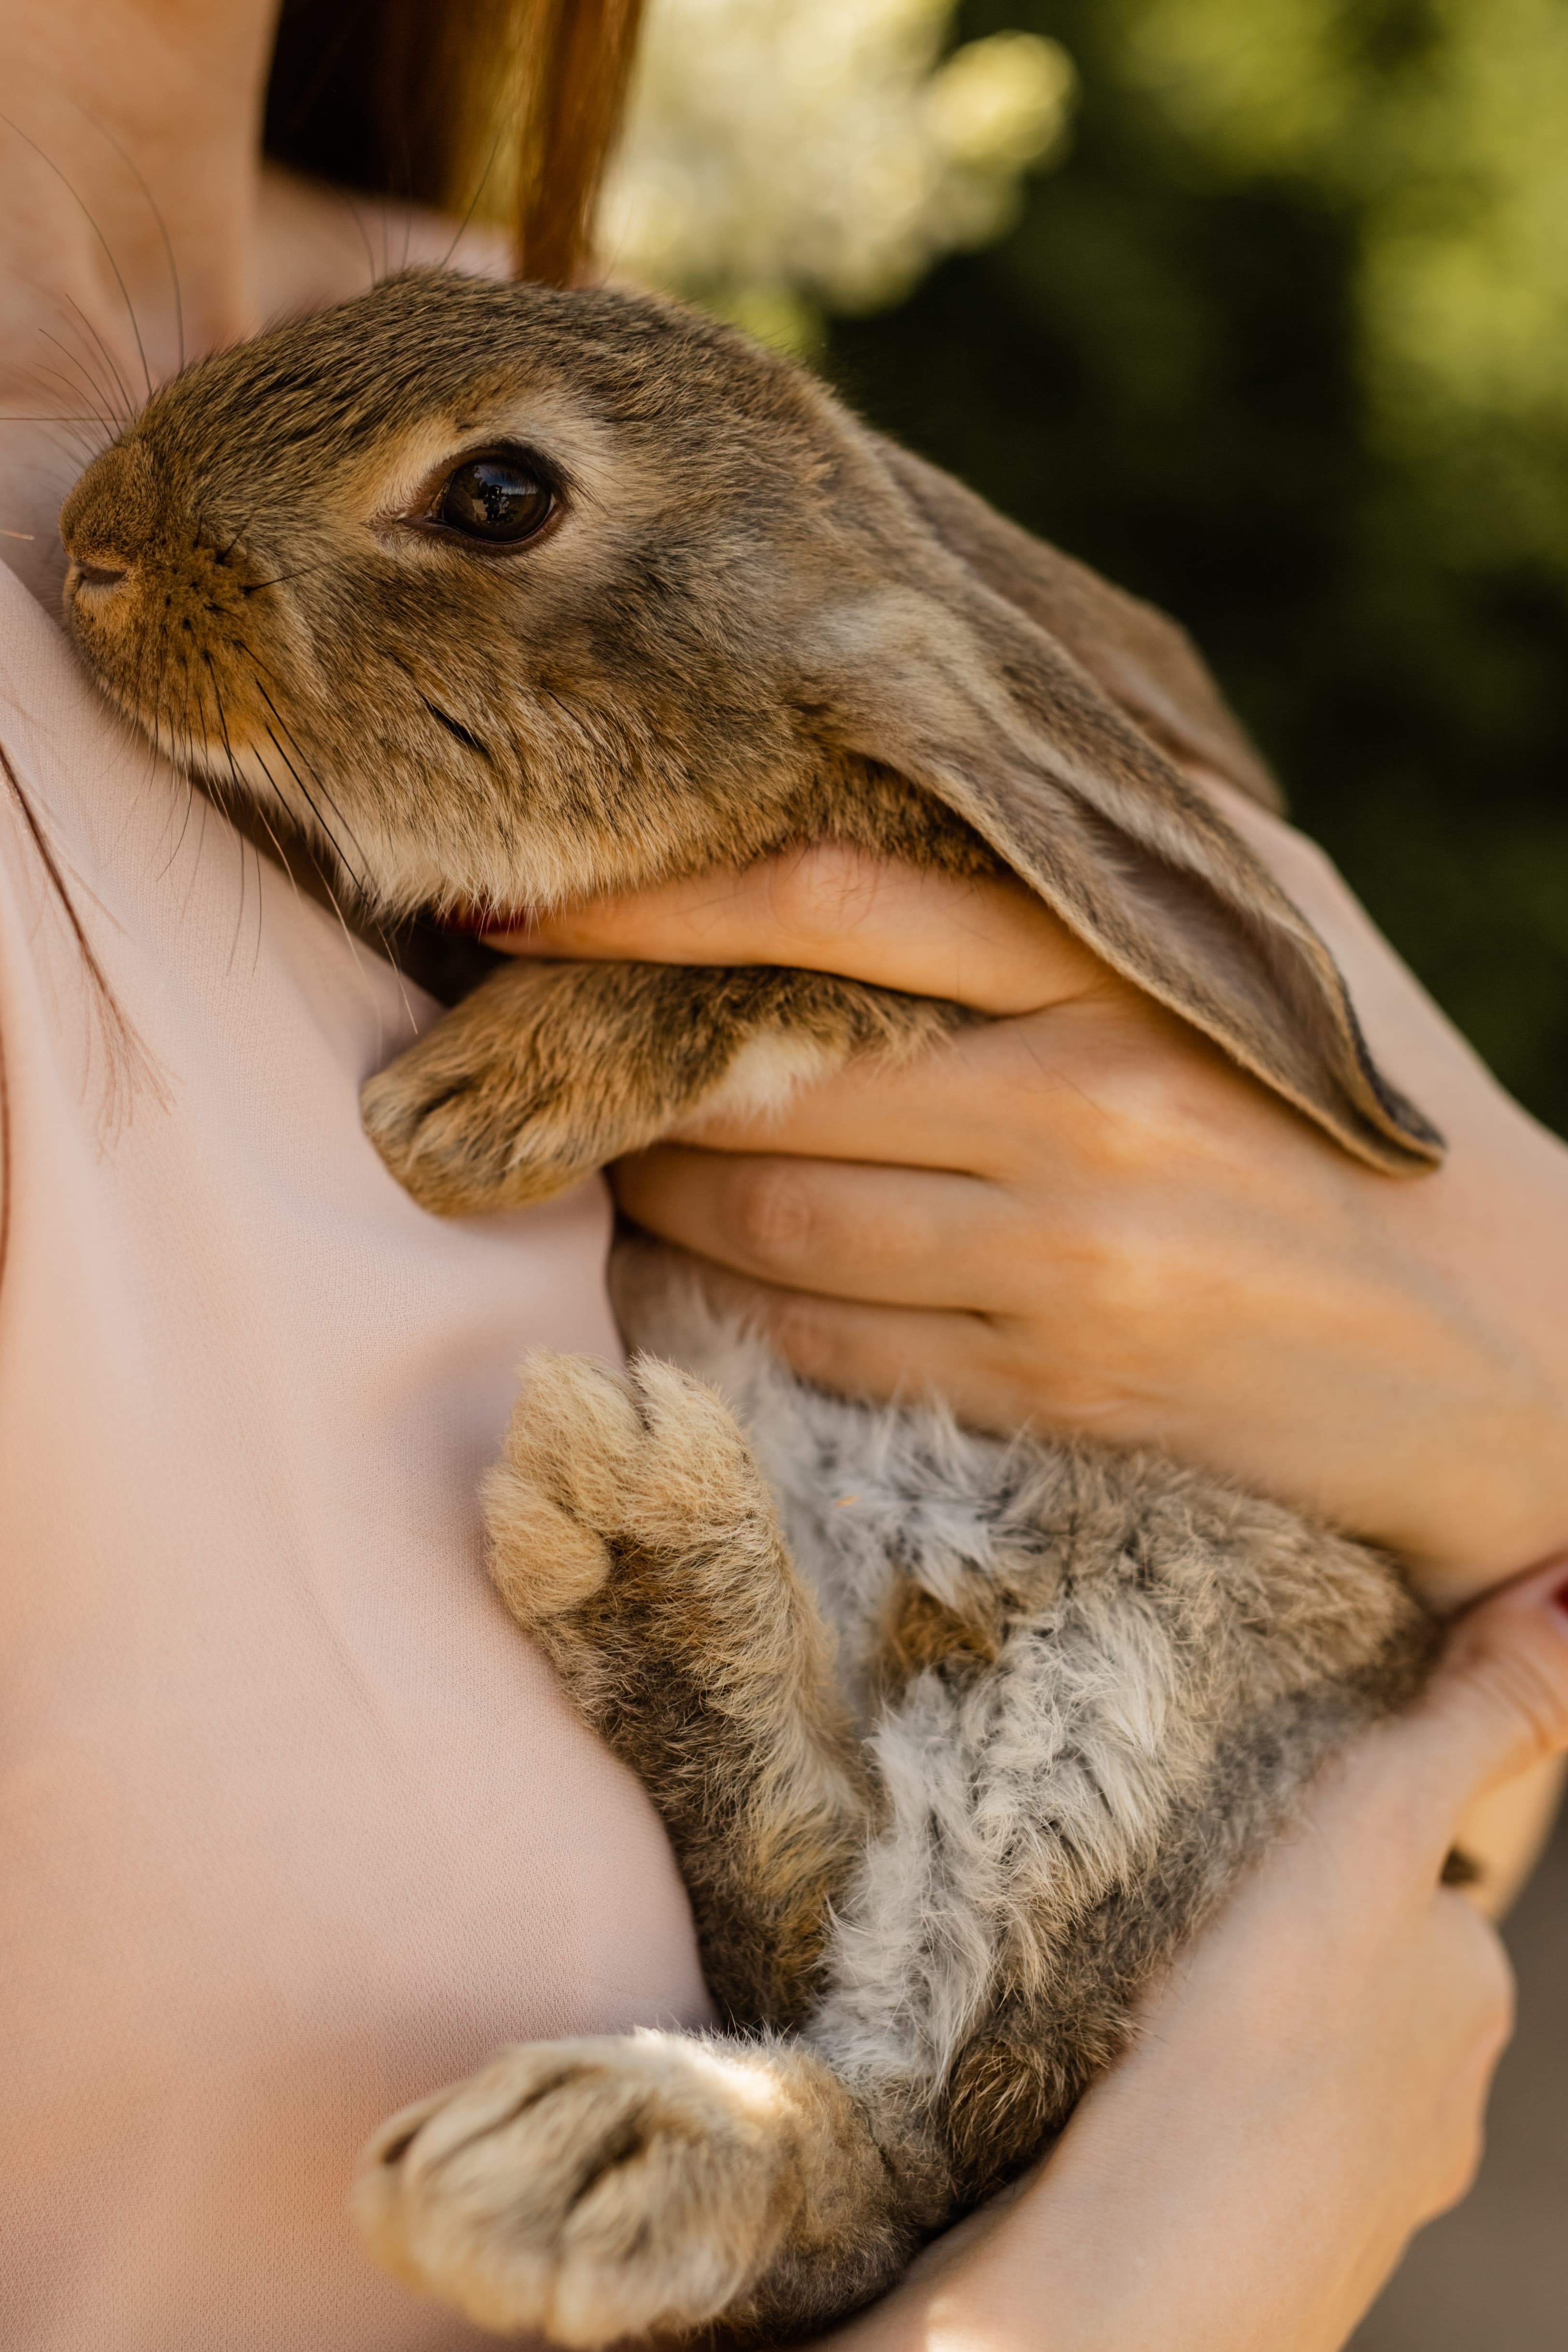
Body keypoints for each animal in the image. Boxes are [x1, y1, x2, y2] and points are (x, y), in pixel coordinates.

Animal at [58, 267, 1447, 2347]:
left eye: (497, 497)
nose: (93, 541)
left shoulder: (918, 953)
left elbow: (762, 975)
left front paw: (466, 1109)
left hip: (1132, 1679)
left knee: (902, 2125)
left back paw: (590, 2137)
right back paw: (645, 1565)